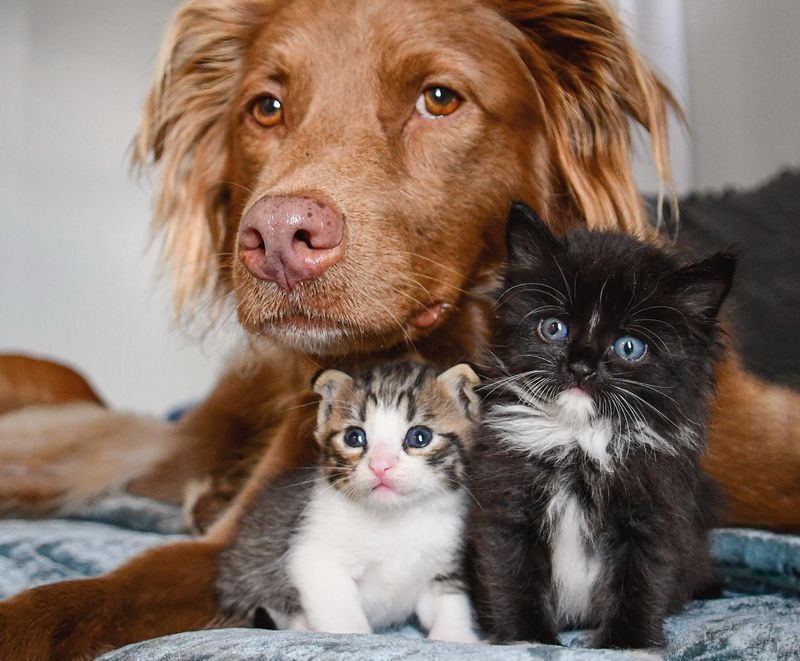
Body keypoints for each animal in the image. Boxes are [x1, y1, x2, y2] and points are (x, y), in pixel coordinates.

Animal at [214, 358, 482, 640]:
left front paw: (455, 636)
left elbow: (453, 603)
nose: (380, 465)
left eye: (419, 437)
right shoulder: (313, 555)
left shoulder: (444, 557)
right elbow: (343, 619)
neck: (394, 518)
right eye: (354, 437)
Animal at [468, 204, 736, 648]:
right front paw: (529, 639)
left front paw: (626, 643)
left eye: (628, 347)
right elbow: (513, 574)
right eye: (554, 328)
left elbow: (641, 581)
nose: (580, 367)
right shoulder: (507, 501)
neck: (580, 442)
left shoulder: (655, 510)